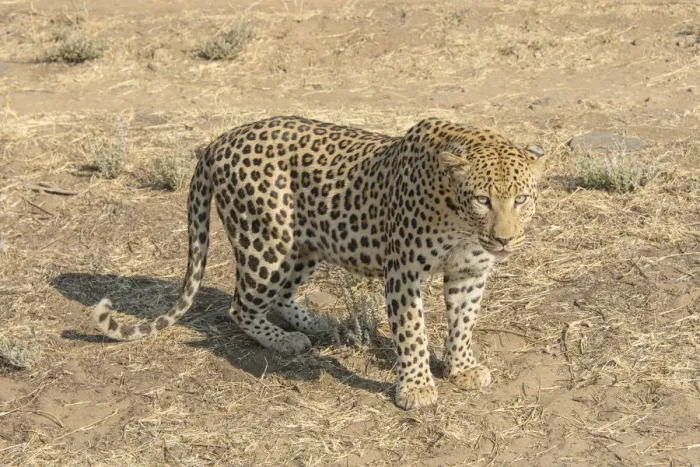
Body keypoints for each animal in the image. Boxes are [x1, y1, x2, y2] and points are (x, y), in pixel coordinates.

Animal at [92, 116, 547, 410]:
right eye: (482, 199)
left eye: (521, 199)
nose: (505, 239)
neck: (460, 219)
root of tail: (220, 140)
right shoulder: (404, 272)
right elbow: (412, 331)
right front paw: (417, 387)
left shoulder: (469, 271)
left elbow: (464, 322)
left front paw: (463, 367)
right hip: (268, 243)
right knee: (240, 306)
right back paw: (286, 340)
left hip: (303, 246)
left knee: (278, 296)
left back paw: (316, 323)